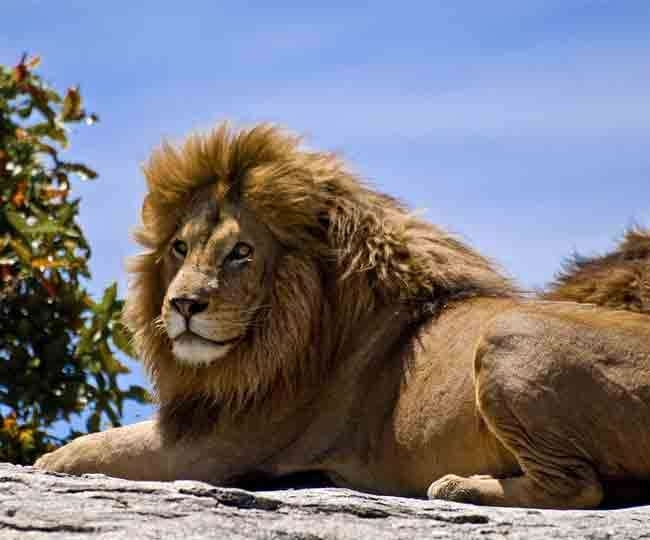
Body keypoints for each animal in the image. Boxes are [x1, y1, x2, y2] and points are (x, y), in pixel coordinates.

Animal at [36, 123, 650, 509]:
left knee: (578, 488)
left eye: (241, 252)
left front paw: (44, 463)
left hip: (506, 336)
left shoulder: (216, 445)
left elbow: (89, 449)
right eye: (180, 249)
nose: (183, 305)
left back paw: (460, 487)